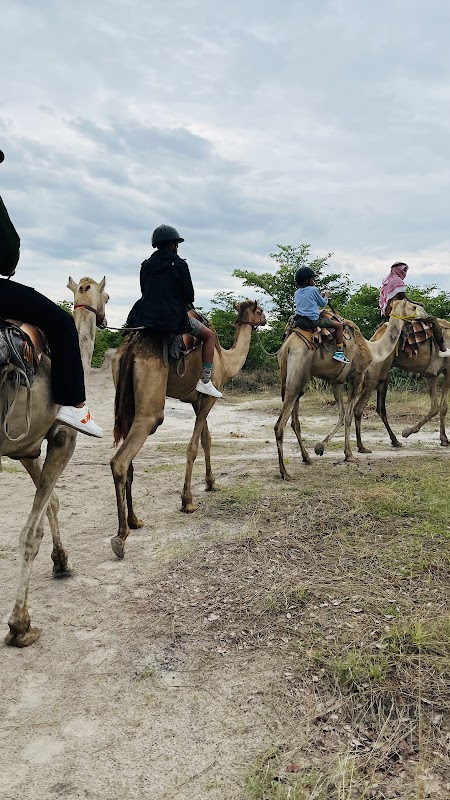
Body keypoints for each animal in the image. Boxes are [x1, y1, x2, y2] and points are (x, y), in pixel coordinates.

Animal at [1, 276, 106, 647]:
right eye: (108, 295)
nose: (105, 317)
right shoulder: (63, 437)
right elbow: (31, 532)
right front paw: (20, 625)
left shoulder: (26, 447)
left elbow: (53, 502)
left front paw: (61, 562)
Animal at [110, 300, 266, 560]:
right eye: (261, 310)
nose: (265, 320)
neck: (225, 360)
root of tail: (131, 349)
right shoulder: (209, 398)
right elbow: (193, 446)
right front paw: (187, 501)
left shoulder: (195, 401)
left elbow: (207, 439)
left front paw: (211, 483)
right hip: (151, 405)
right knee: (121, 459)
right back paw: (121, 537)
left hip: (128, 400)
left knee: (128, 459)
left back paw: (135, 520)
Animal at [274, 298, 426, 478]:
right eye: (413, 307)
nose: (424, 313)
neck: (372, 348)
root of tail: (288, 346)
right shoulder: (357, 376)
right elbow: (348, 415)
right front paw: (349, 454)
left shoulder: (336, 382)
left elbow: (341, 414)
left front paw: (320, 447)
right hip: (298, 370)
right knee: (280, 424)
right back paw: (285, 472)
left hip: (290, 375)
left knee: (294, 421)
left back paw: (306, 458)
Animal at [354, 316, 450, 453]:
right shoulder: (433, 374)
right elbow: (435, 407)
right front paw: (407, 431)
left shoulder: (445, 371)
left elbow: (443, 408)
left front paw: (444, 439)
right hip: (374, 376)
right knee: (359, 408)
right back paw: (361, 446)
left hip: (384, 375)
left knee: (380, 407)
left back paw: (395, 441)